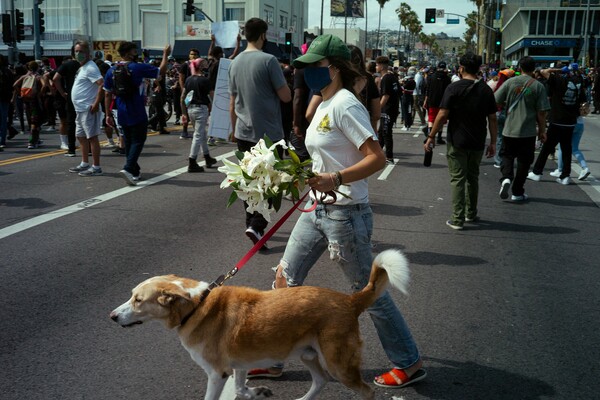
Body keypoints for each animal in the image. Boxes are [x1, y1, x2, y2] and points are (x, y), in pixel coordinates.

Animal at [110, 248, 410, 398]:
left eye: (138, 300)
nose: (112, 316)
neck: (195, 306)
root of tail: (350, 300)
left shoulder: (216, 373)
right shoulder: (238, 364)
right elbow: (241, 389)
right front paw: (257, 391)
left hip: (339, 363)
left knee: (365, 392)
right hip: (308, 354)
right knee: (320, 381)